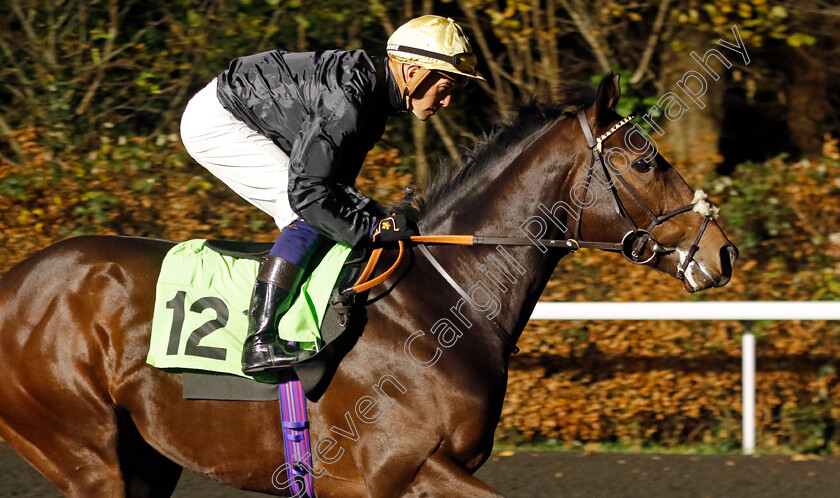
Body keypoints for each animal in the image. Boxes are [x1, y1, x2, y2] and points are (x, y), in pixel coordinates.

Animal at [0, 75, 736, 498]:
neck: (445, 300)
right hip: (84, 452)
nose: (722, 251)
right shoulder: (398, 469)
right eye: (645, 160)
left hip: (145, 462)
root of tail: (15, 280)